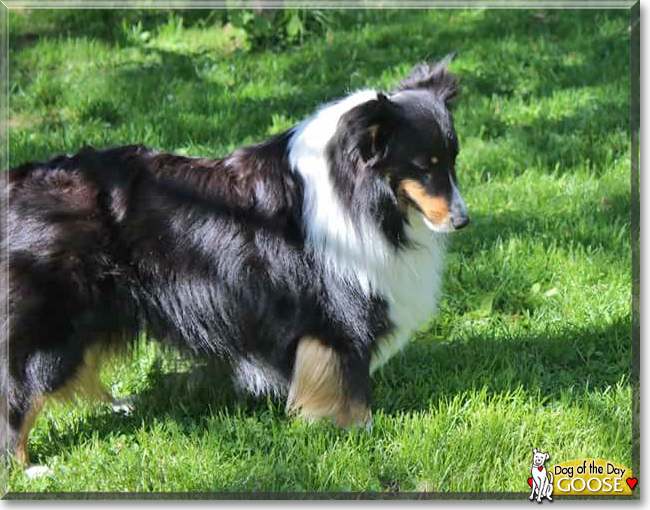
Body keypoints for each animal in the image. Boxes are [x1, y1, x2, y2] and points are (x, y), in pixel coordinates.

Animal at [0, 56, 466, 474]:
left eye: (453, 160)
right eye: (424, 167)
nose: (463, 220)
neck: (357, 193)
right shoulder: (337, 315)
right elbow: (348, 383)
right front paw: (357, 431)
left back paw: (119, 406)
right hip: (50, 324)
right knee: (18, 389)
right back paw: (27, 466)